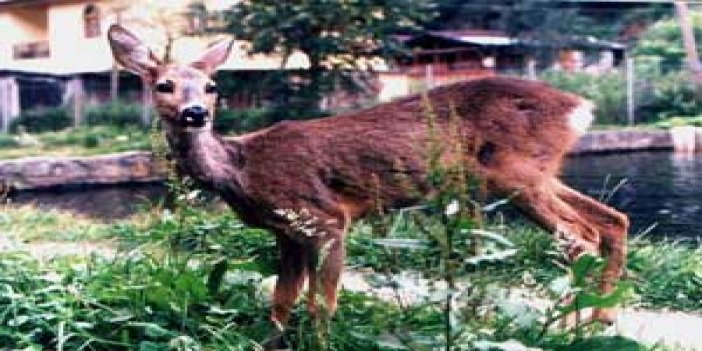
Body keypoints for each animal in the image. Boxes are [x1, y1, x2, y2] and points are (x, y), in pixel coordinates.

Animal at [108, 24, 632, 346]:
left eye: (212, 87)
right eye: (164, 85)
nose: (196, 113)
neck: (242, 169)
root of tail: (579, 107)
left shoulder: (326, 218)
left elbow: (321, 305)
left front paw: (320, 344)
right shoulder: (287, 233)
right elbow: (281, 303)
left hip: (512, 173)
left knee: (579, 236)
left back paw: (566, 327)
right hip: (536, 173)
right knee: (613, 219)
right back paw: (599, 319)